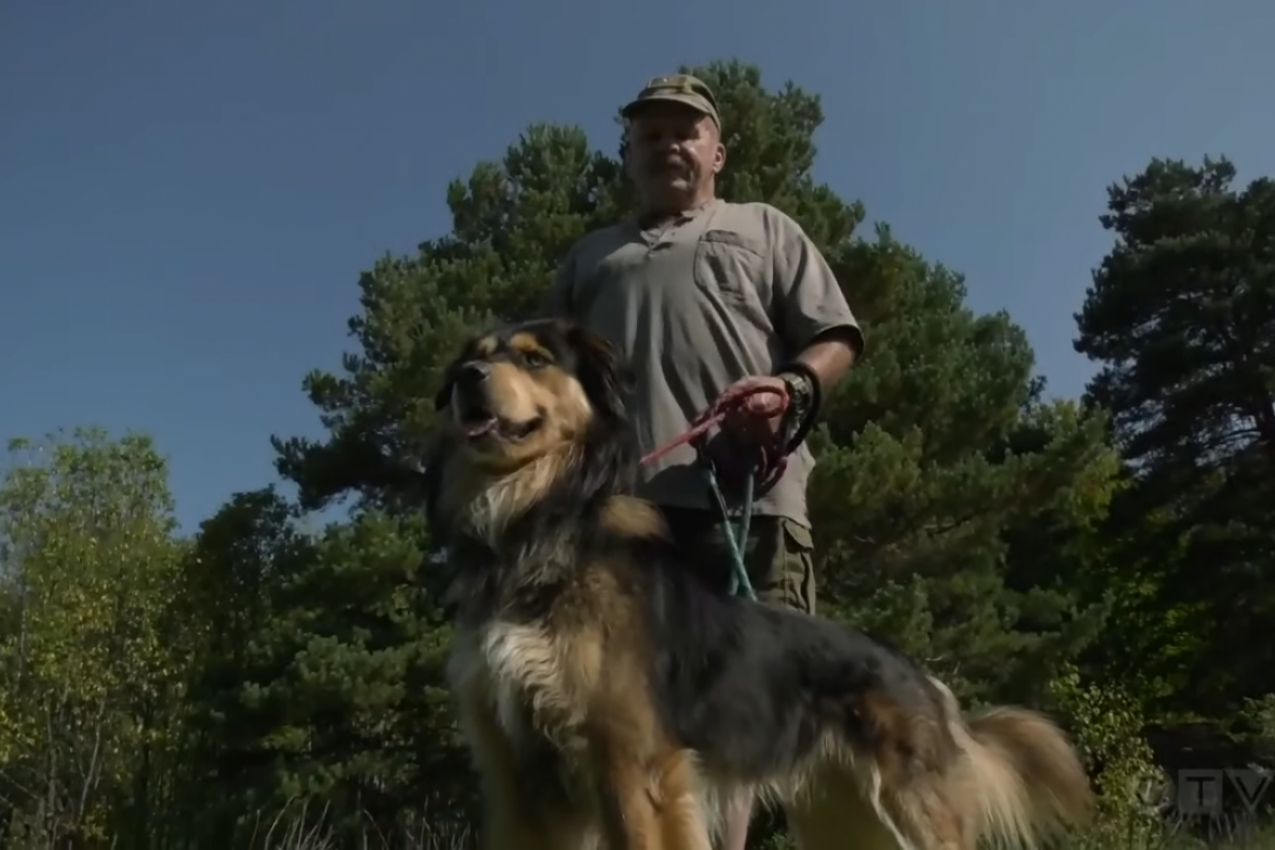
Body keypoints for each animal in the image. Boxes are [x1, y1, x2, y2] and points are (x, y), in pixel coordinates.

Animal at [420, 317, 1096, 850]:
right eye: (473, 355)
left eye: (534, 358)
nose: (467, 378)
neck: (536, 526)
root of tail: (923, 678)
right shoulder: (517, 781)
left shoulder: (631, 762)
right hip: (843, 820)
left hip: (915, 813)